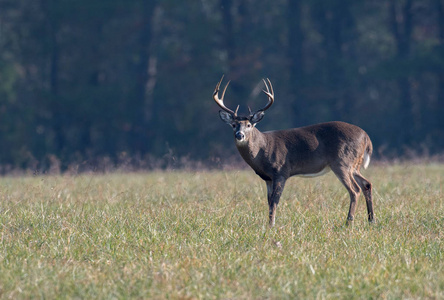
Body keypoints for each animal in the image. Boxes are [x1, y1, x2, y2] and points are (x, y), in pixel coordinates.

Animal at [213, 76, 372, 226]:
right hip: (354, 165)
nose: (239, 135)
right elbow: (268, 201)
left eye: (249, 125)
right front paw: (269, 223)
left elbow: (274, 201)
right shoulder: (268, 178)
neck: (262, 150)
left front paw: (271, 225)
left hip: (342, 162)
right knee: (366, 184)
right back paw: (371, 220)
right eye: (233, 125)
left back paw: (348, 222)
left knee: (355, 190)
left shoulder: (281, 172)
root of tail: (366, 136)